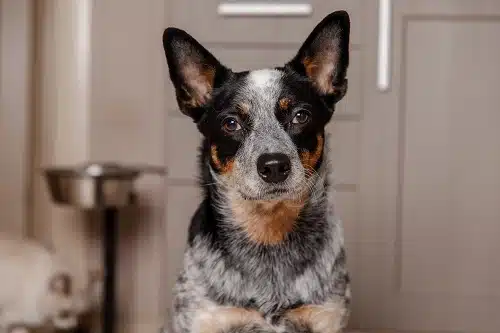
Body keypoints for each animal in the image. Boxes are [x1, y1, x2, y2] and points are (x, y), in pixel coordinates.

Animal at [163, 10, 352, 332]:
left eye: (300, 116)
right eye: (231, 123)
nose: (274, 166)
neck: (268, 236)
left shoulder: (326, 316)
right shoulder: (204, 317)